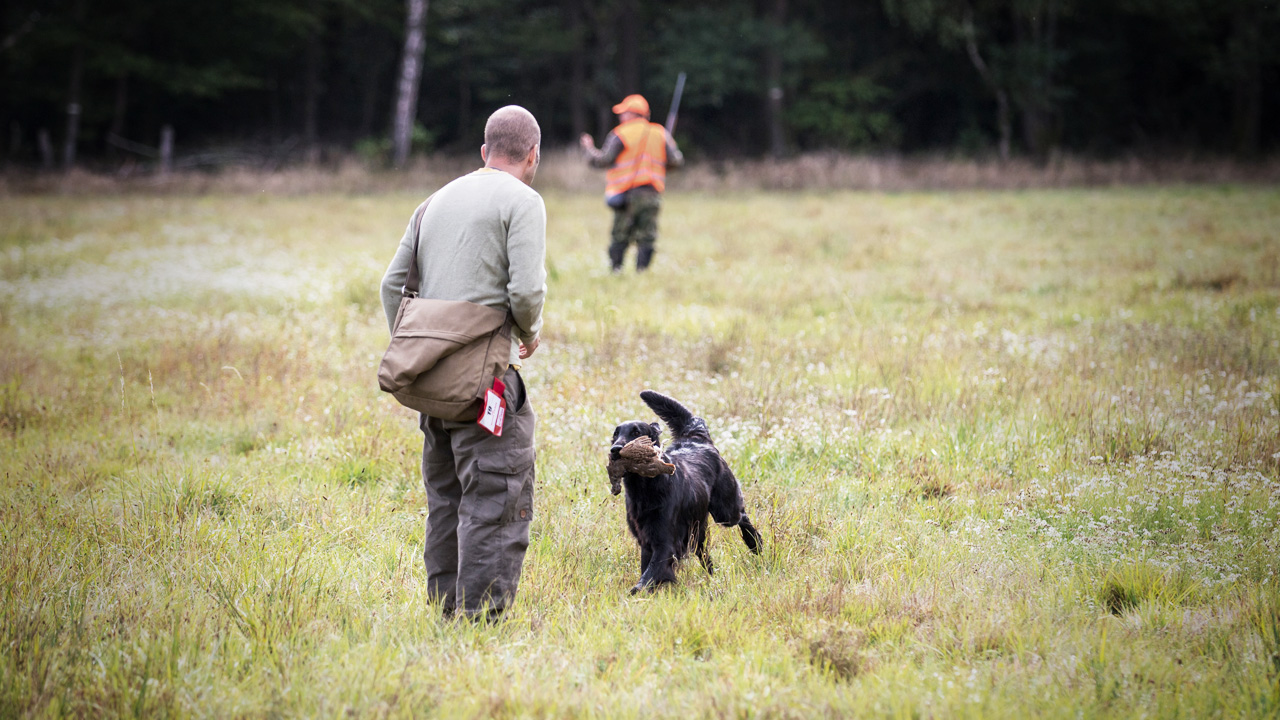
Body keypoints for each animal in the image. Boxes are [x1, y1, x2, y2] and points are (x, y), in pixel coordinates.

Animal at [609, 389, 757, 591]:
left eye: (636, 432)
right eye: (615, 434)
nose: (615, 449)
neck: (645, 489)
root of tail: (696, 438)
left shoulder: (665, 542)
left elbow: (647, 578)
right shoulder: (646, 541)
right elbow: (646, 571)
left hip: (724, 511)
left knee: (742, 515)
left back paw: (755, 544)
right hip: (697, 527)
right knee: (704, 553)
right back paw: (712, 577)